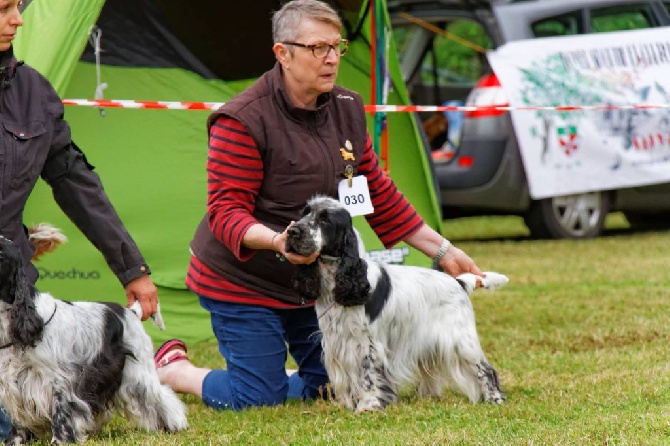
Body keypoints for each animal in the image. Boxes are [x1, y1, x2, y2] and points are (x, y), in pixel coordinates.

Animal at [286, 197, 506, 412]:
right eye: (304, 213)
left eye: (324, 220)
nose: (292, 231)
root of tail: (459, 282)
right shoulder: (337, 342)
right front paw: (349, 405)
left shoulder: (367, 344)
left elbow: (369, 376)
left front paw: (369, 406)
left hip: (461, 340)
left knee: (485, 369)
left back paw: (494, 398)